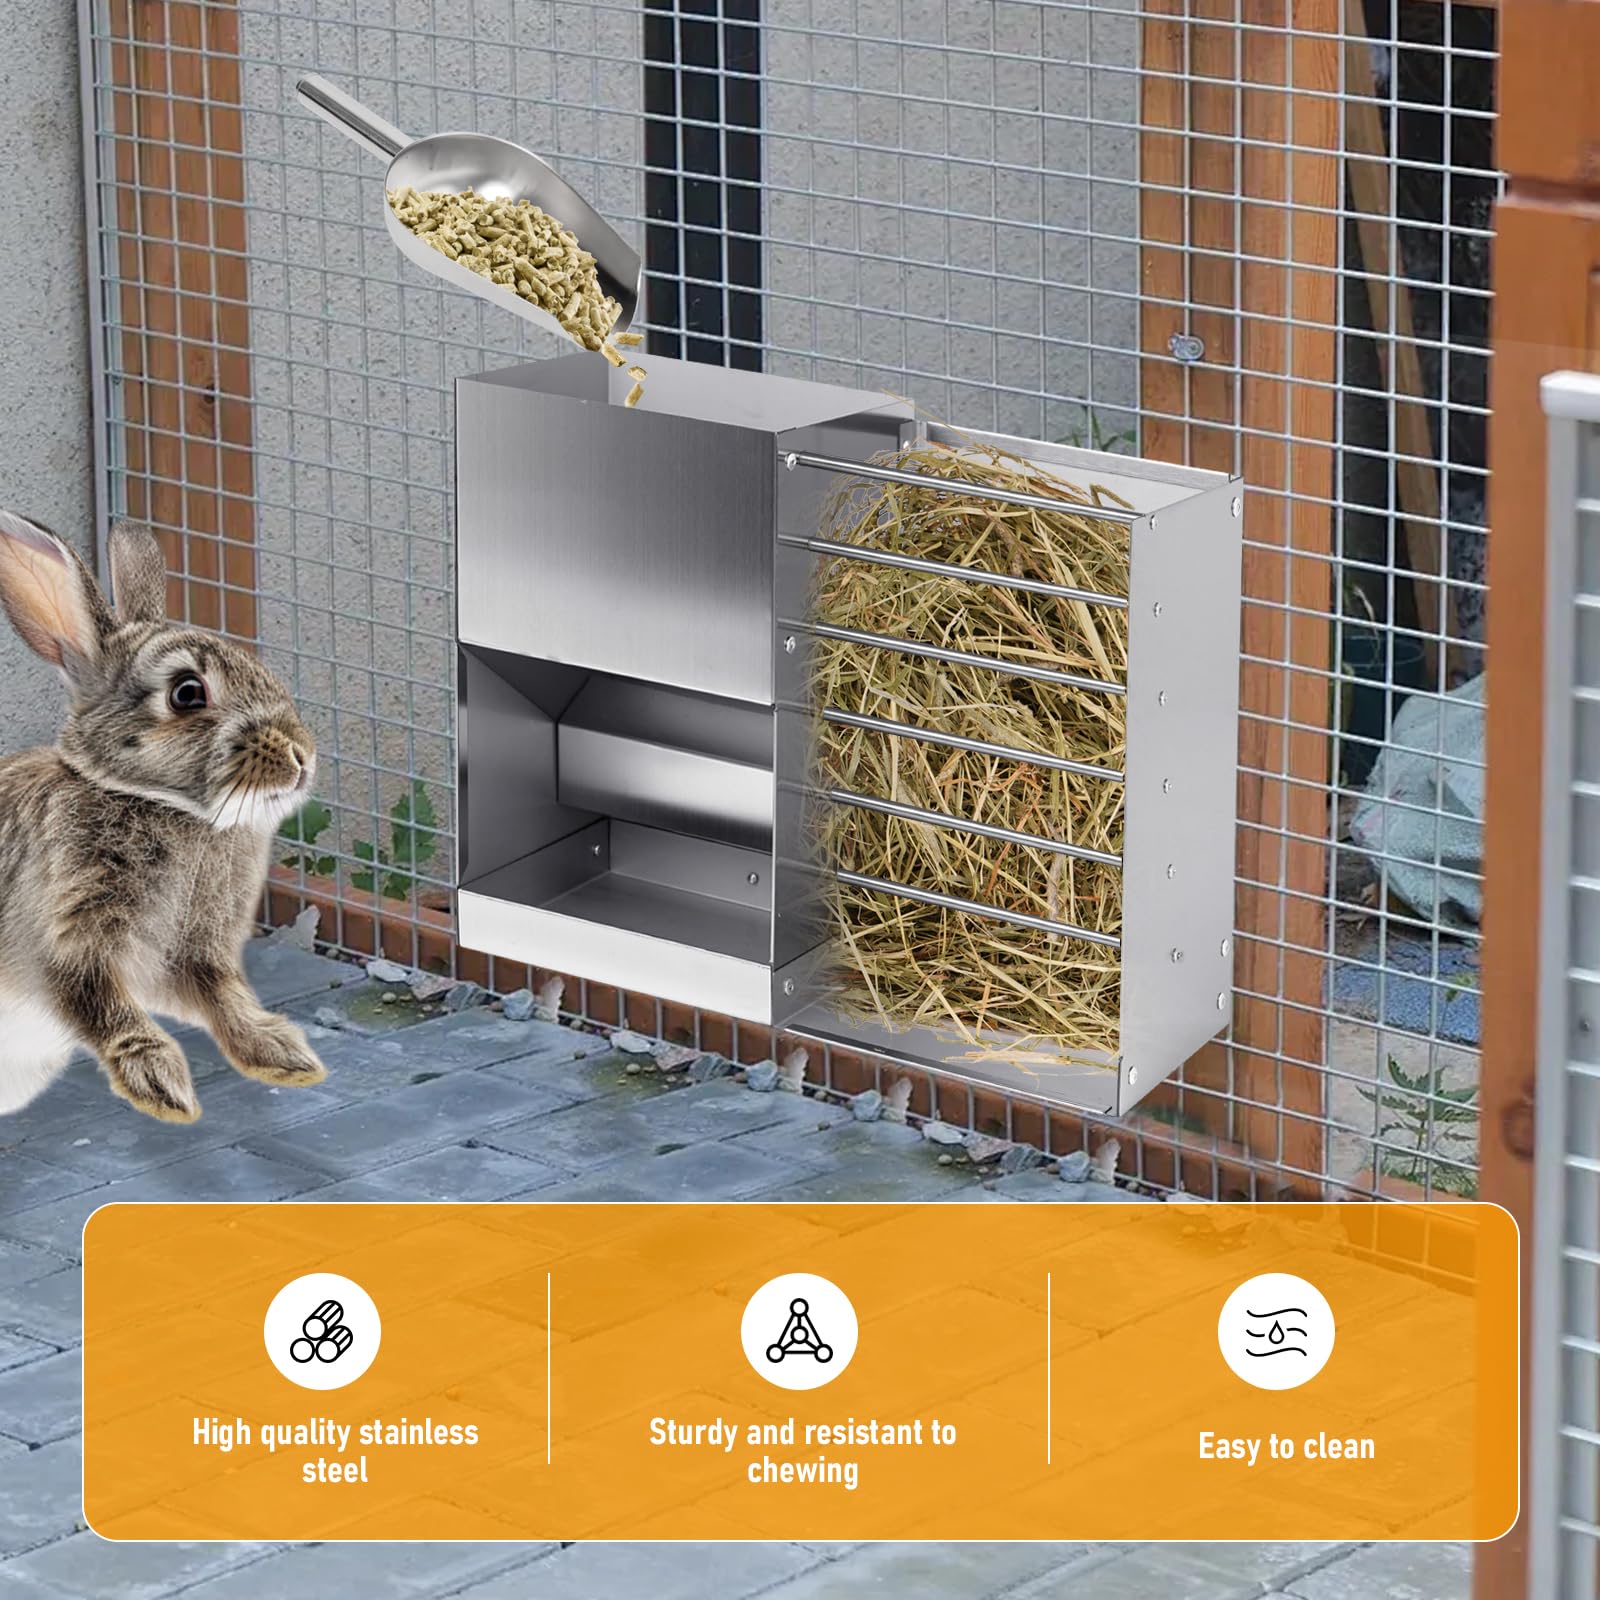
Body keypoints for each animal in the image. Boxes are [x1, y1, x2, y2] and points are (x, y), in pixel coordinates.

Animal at [0, 508, 328, 1122]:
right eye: (187, 693)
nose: (301, 757)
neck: (153, 801)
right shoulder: (65, 940)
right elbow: (102, 1004)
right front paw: (160, 1084)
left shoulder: (195, 952)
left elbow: (225, 998)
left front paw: (282, 1054)